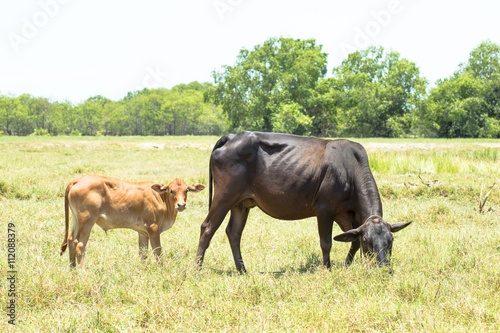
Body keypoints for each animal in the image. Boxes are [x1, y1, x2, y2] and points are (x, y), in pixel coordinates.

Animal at [60, 175, 205, 268]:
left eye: (186, 190)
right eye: (171, 190)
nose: (181, 205)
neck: (161, 198)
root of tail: (78, 180)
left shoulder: (143, 232)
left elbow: (143, 253)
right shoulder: (153, 228)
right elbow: (157, 251)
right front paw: (162, 270)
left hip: (76, 219)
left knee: (71, 241)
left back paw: (72, 269)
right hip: (87, 221)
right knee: (80, 245)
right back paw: (81, 271)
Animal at [195, 131, 410, 272]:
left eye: (391, 241)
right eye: (368, 241)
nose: (384, 268)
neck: (350, 167)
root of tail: (232, 136)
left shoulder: (350, 217)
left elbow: (352, 241)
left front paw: (347, 266)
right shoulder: (325, 210)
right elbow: (326, 243)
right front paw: (327, 269)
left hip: (241, 203)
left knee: (234, 233)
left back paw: (242, 270)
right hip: (224, 196)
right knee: (207, 227)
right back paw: (197, 269)